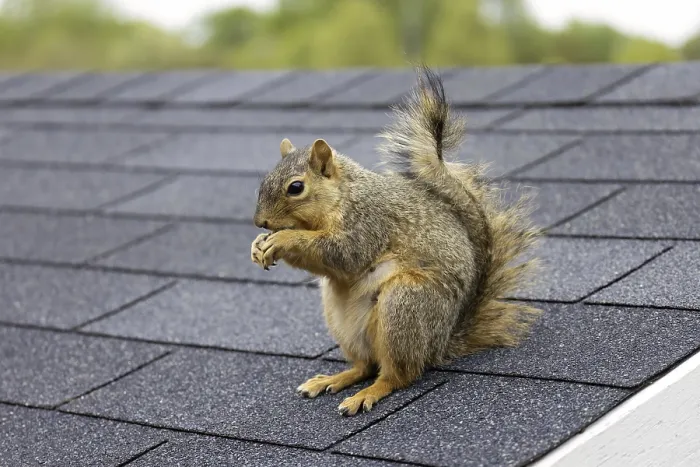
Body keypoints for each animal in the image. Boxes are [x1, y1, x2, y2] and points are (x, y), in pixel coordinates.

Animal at [251, 65, 542, 417]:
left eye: (296, 187)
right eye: (264, 181)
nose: (260, 222)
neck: (342, 196)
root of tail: (440, 344)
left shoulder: (368, 222)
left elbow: (344, 254)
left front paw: (281, 239)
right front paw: (258, 245)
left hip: (404, 304)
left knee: (397, 375)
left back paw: (367, 394)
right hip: (342, 321)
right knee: (365, 366)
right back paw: (333, 379)